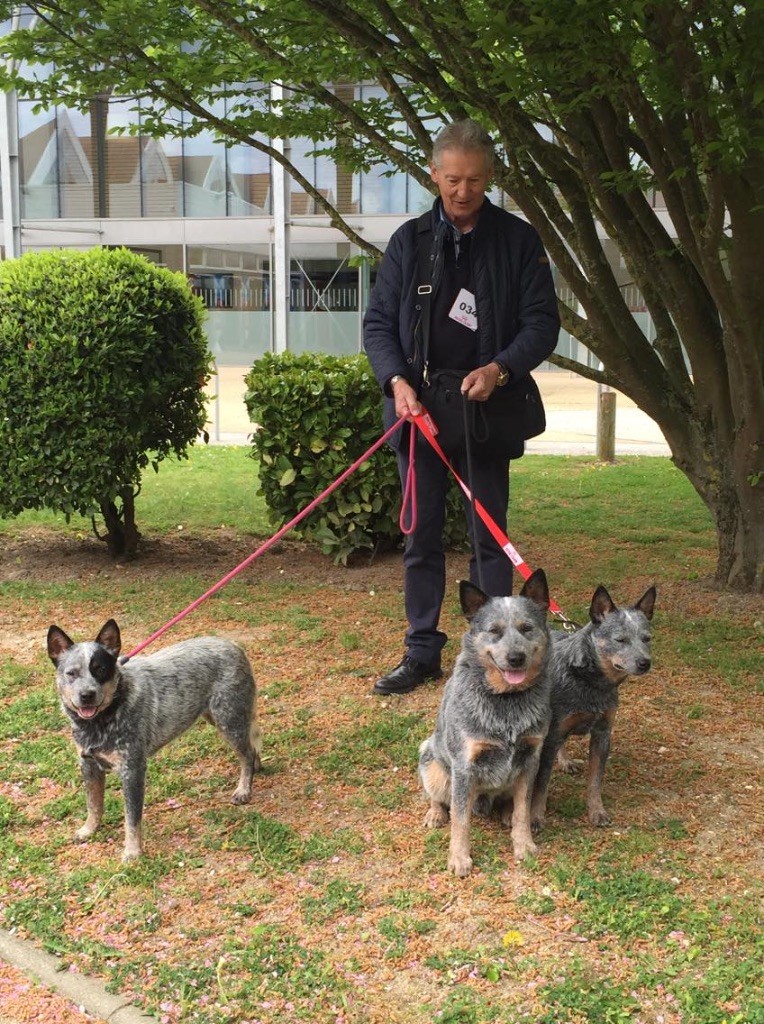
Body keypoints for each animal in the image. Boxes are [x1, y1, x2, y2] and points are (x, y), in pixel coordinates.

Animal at [48, 618, 262, 860]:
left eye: (100, 669)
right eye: (71, 673)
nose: (86, 695)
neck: (103, 720)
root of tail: (234, 646)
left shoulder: (132, 770)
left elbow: (132, 818)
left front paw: (133, 852)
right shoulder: (89, 765)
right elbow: (93, 804)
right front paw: (88, 830)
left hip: (228, 719)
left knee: (247, 753)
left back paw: (243, 790)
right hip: (219, 717)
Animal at [415, 573, 553, 876]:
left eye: (527, 628)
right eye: (494, 631)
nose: (516, 657)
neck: (507, 702)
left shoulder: (530, 759)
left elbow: (523, 810)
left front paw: (524, 844)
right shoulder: (465, 766)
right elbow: (461, 819)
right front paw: (459, 857)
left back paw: (505, 813)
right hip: (430, 758)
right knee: (439, 797)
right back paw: (435, 813)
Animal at [528, 585, 655, 831]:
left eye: (647, 638)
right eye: (620, 639)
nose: (645, 663)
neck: (590, 683)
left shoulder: (602, 734)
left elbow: (595, 781)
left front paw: (597, 811)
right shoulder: (553, 733)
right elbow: (541, 783)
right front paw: (535, 817)